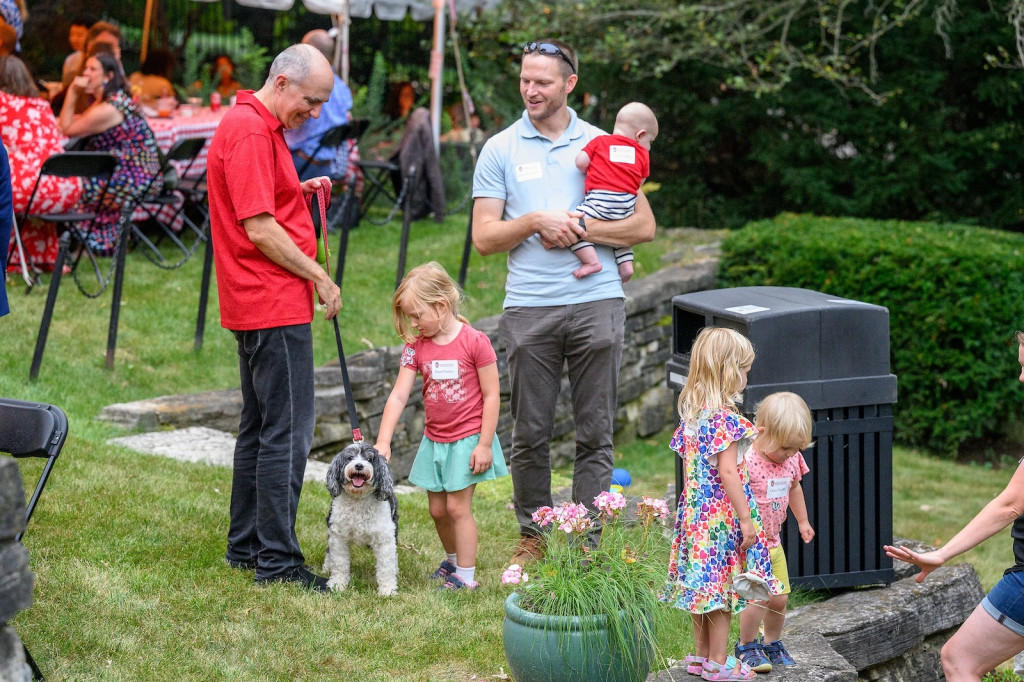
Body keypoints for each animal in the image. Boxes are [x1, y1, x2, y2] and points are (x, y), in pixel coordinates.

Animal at [323, 444, 399, 593]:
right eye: (349, 457)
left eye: (369, 459)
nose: (358, 465)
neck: (358, 498)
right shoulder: (338, 536)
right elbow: (339, 562)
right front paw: (337, 584)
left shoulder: (385, 539)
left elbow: (386, 566)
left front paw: (387, 590)